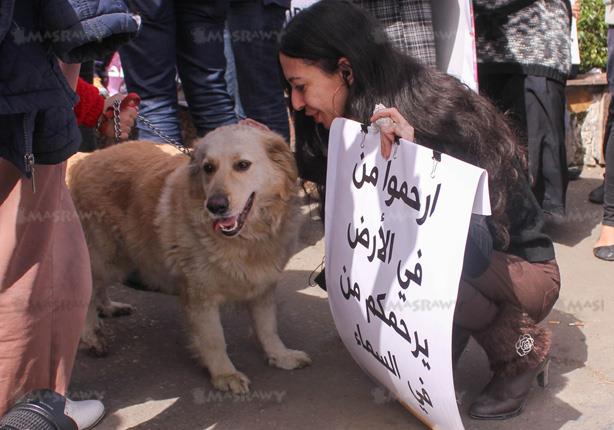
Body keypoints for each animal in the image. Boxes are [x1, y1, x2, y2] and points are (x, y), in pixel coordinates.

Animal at [68, 124, 312, 394]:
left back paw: (109, 308)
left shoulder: (262, 286)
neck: (246, 240)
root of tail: (86, 158)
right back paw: (91, 335)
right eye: (208, 167)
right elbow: (214, 339)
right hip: (105, 257)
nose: (215, 206)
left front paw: (281, 356)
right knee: (87, 294)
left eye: (242, 165)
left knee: (98, 290)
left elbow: (268, 328)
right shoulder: (198, 296)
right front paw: (224, 374)